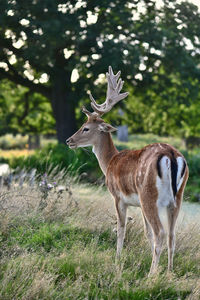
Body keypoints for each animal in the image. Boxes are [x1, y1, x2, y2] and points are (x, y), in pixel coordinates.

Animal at [67, 67, 189, 276]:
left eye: (86, 128)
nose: (69, 141)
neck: (109, 162)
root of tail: (172, 155)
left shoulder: (118, 196)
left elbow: (121, 228)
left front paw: (117, 260)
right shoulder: (138, 203)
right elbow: (147, 233)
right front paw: (147, 260)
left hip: (149, 195)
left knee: (161, 232)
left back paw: (151, 275)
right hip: (176, 198)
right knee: (172, 234)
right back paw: (168, 272)